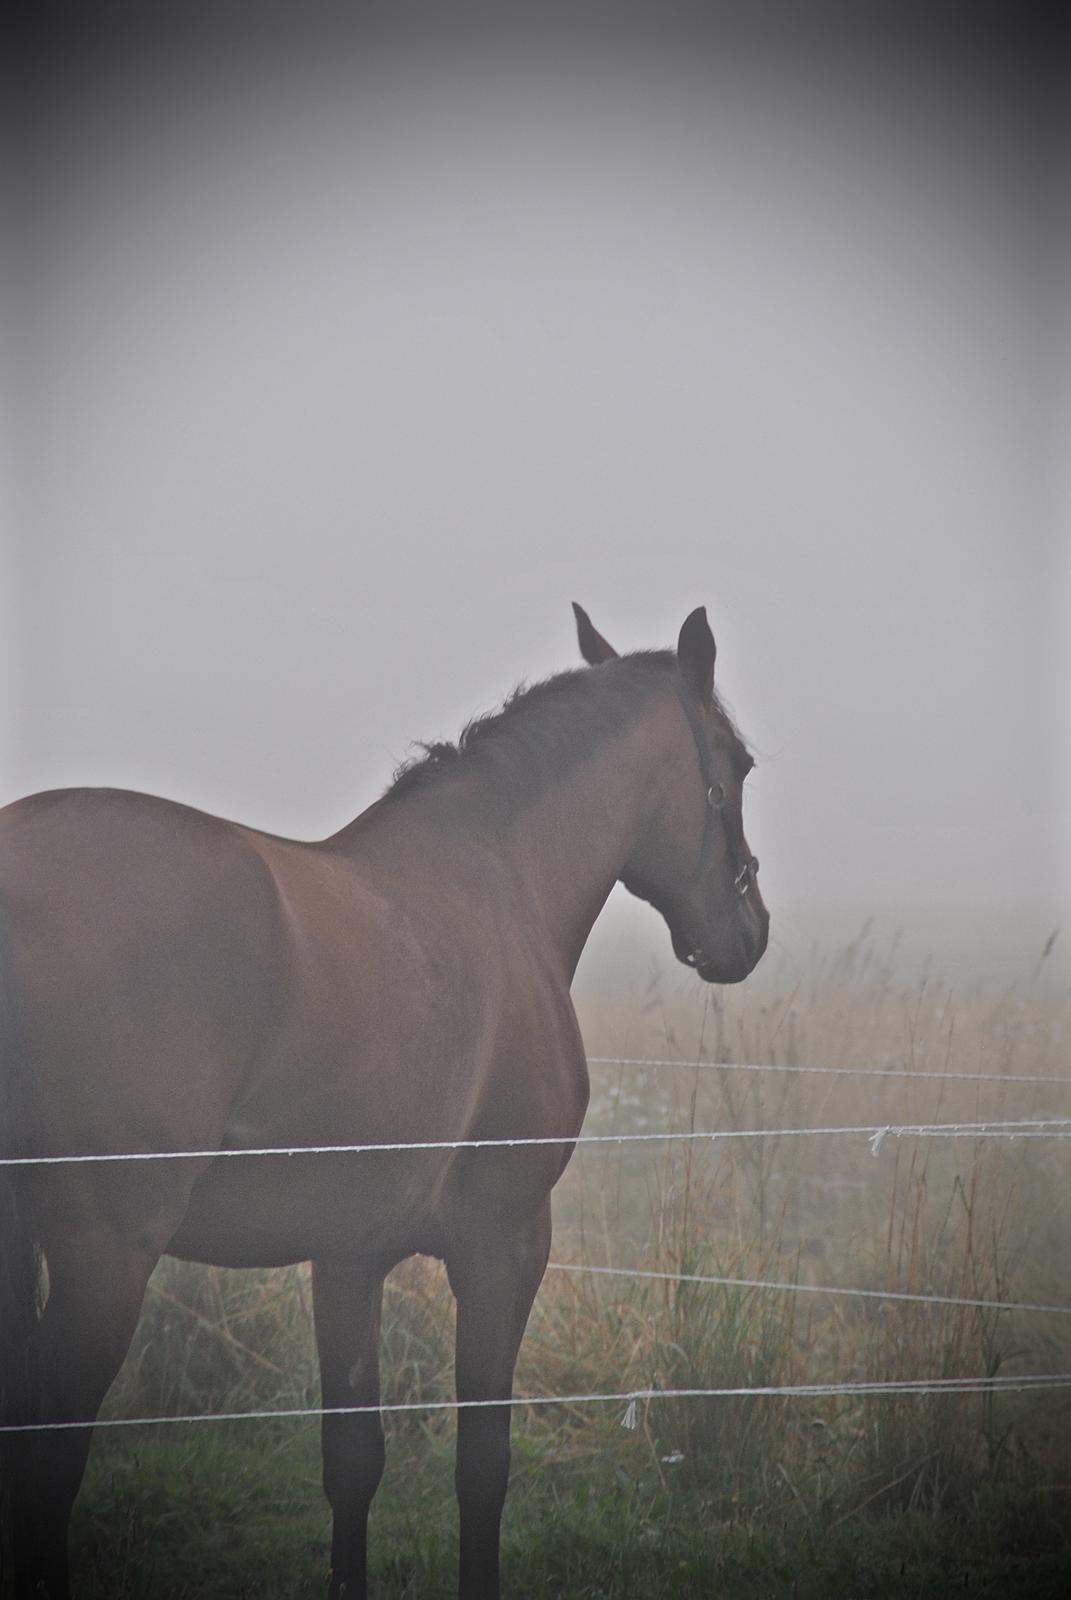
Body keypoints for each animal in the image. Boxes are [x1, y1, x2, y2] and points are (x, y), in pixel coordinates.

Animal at [0, 603, 768, 1598]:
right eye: (737, 764)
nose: (749, 933)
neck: (499, 881)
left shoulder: (347, 1257)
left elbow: (352, 1464)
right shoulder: (504, 1246)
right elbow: (483, 1467)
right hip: (104, 1259)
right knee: (45, 1475)